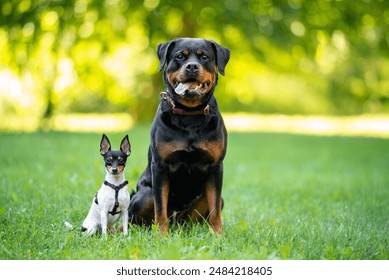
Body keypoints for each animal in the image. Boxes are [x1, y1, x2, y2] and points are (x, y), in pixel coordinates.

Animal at [127, 36, 230, 234]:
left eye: (204, 57)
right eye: (180, 56)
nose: (192, 66)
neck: (190, 114)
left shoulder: (216, 167)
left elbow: (215, 210)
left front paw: (218, 236)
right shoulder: (160, 167)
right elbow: (160, 209)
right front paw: (162, 236)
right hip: (145, 195)